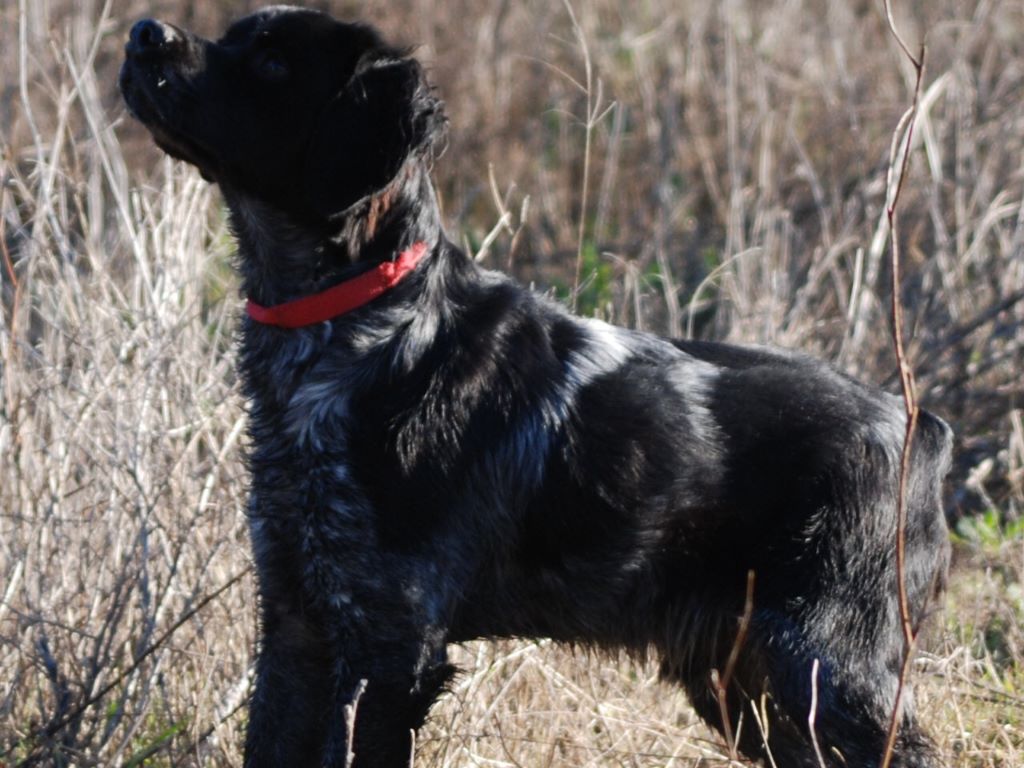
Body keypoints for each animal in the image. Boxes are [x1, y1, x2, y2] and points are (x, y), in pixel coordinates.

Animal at [119, 7, 950, 768]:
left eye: (270, 61)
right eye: (235, 34)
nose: (143, 32)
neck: (354, 333)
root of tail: (921, 430)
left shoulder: (391, 645)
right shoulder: (297, 621)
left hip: (823, 666)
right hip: (749, 685)